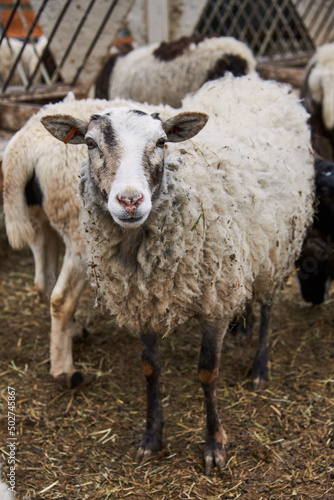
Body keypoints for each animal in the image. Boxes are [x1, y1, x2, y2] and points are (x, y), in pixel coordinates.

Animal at [41, 73, 316, 472]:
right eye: (90, 143)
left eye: (161, 142)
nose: (130, 201)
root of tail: (255, 80)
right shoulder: (145, 301)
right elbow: (150, 367)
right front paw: (151, 438)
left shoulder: (215, 300)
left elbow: (207, 371)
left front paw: (214, 444)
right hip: (246, 253)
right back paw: (243, 326)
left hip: (279, 245)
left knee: (267, 304)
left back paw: (260, 366)